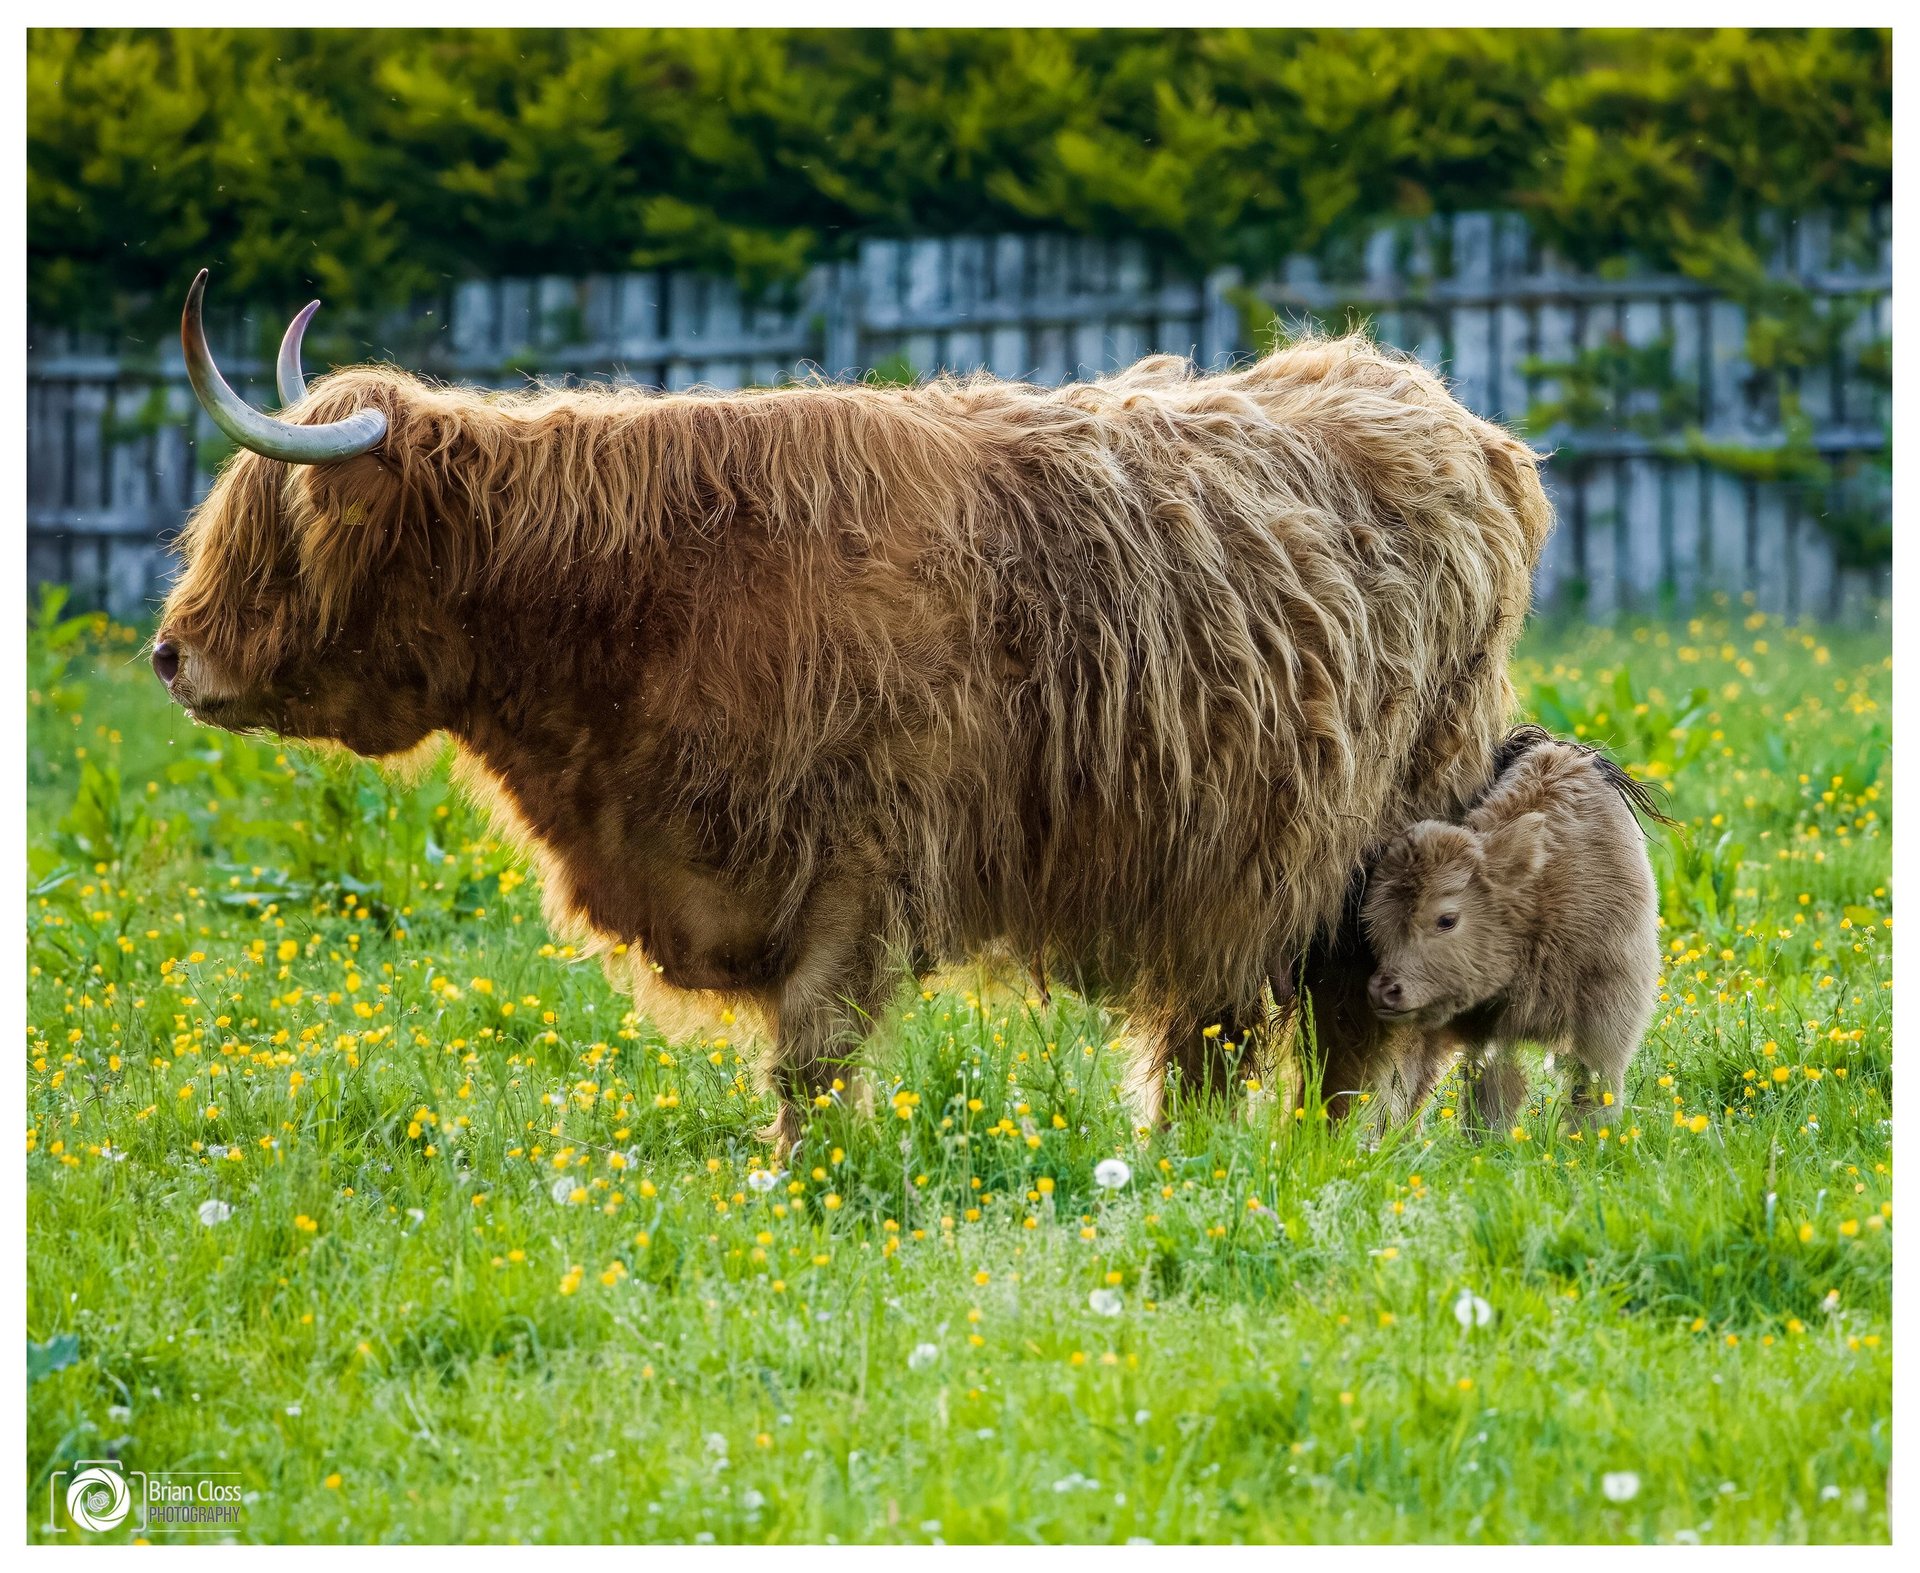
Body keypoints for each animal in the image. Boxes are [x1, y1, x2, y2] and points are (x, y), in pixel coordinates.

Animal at [153, 271, 1552, 1149]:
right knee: (1217, 1034)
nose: (172, 656)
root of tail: (1434, 405)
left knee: (1362, 1031)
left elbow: (813, 1055)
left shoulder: (863, 857)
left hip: (1386, 837)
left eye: (273, 537)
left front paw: (801, 1184)